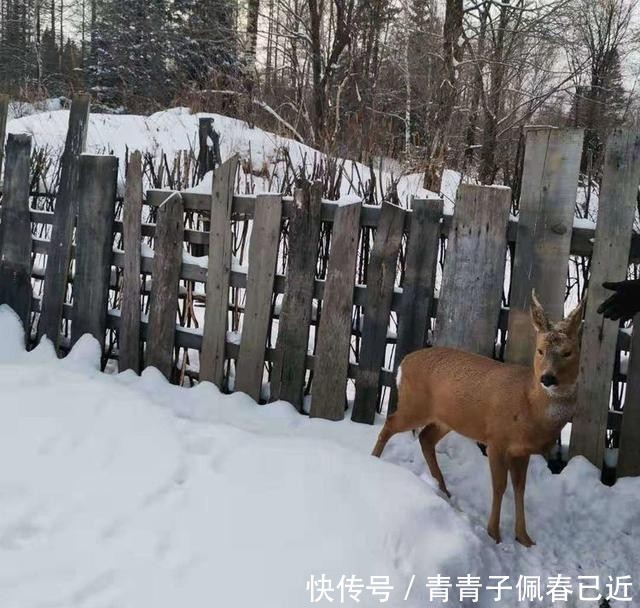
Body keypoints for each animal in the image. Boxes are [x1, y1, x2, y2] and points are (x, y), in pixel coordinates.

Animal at [372, 290, 588, 548]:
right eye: (540, 350)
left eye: (568, 352)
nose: (547, 378)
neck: (529, 405)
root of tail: (403, 363)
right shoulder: (496, 439)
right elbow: (499, 486)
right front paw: (494, 534)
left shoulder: (522, 451)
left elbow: (520, 489)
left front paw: (524, 538)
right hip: (415, 405)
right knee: (390, 424)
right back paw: (373, 461)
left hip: (446, 418)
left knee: (425, 437)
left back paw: (443, 489)